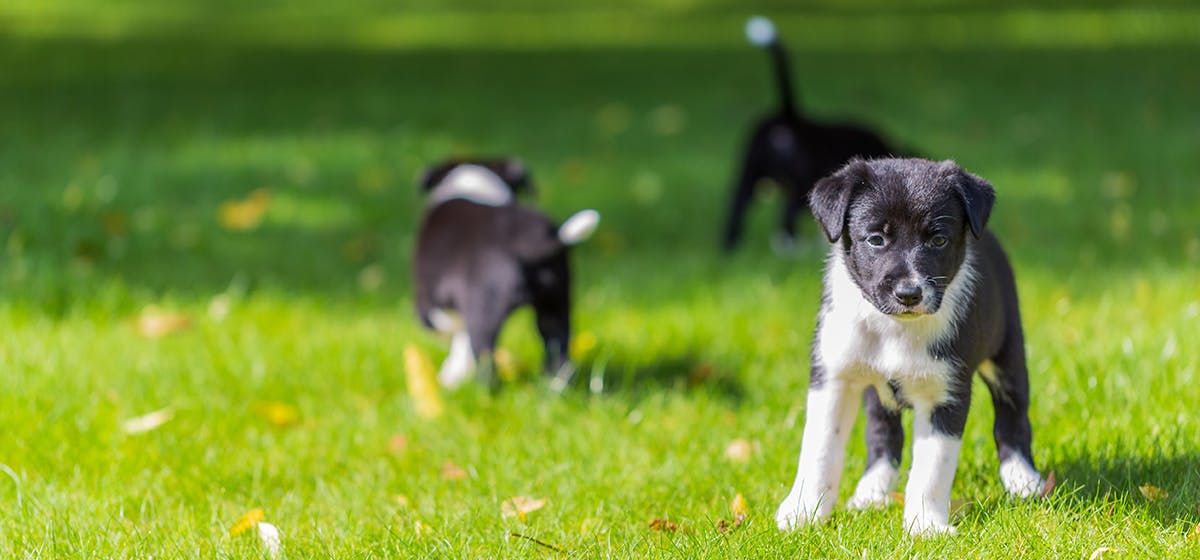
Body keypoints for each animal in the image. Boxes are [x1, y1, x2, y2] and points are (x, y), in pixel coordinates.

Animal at [412, 158, 600, 393]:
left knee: (485, 355)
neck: (474, 185)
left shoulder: (428, 299)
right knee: (557, 346)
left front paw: (452, 374)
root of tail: (523, 238)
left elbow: (452, 331)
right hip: (556, 301)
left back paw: (484, 393)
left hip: (483, 308)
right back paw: (554, 388)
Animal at [720, 17, 902, 254]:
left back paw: (729, 248)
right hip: (799, 183)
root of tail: (788, 115)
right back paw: (792, 248)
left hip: (749, 172)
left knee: (736, 207)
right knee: (785, 215)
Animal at [777, 159, 1041, 537]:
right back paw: (871, 491)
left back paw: (1023, 479)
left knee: (1012, 416)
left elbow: (932, 467)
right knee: (882, 433)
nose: (909, 294)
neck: (893, 328)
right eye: (876, 239)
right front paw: (802, 512)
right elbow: (820, 449)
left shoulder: (945, 393)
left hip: (1008, 353)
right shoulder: (833, 377)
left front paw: (925, 526)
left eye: (938, 239)